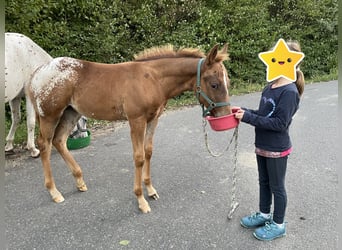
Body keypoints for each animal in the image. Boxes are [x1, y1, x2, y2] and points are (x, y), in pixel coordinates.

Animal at [25, 44, 231, 212]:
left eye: (228, 82)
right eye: (214, 84)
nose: (225, 115)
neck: (153, 79)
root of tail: (36, 74)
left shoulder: (153, 119)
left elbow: (148, 151)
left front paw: (150, 190)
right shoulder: (136, 120)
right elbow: (138, 157)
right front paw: (141, 200)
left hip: (71, 112)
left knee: (59, 140)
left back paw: (79, 180)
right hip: (49, 115)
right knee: (44, 144)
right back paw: (54, 191)